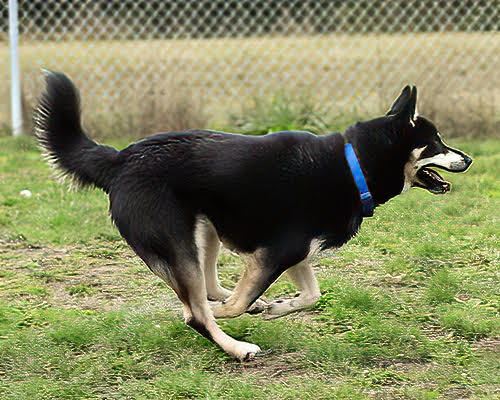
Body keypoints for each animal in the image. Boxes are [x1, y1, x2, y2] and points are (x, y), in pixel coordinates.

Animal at [35, 72, 472, 362]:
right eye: (435, 143)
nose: (468, 158)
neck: (353, 165)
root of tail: (120, 159)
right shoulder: (278, 252)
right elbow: (229, 308)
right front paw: (235, 313)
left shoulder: (293, 253)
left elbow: (311, 296)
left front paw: (277, 307)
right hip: (179, 240)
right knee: (197, 311)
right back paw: (235, 345)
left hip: (204, 229)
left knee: (210, 287)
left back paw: (249, 305)